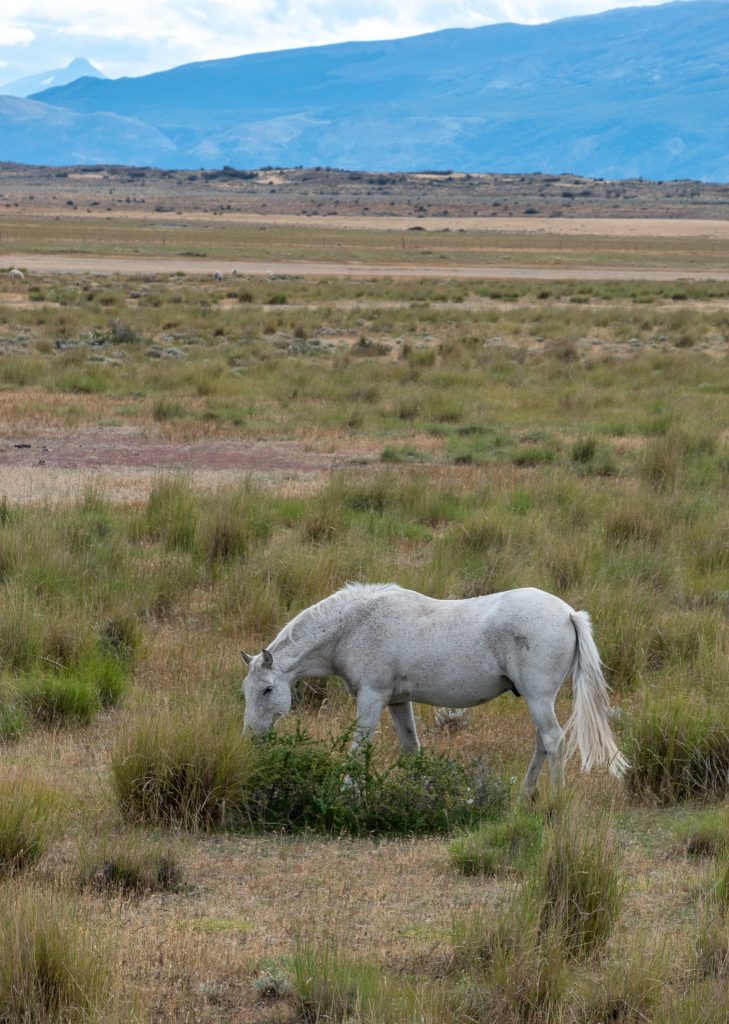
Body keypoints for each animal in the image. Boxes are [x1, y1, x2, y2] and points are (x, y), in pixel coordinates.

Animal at [241, 583, 627, 796]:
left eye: (267, 690)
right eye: (246, 692)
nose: (251, 737)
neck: (355, 626)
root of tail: (568, 613)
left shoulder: (372, 698)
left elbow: (358, 746)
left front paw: (346, 792)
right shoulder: (397, 702)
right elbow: (412, 748)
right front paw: (423, 790)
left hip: (538, 699)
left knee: (552, 740)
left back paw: (554, 800)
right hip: (537, 701)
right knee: (541, 743)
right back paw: (525, 795)